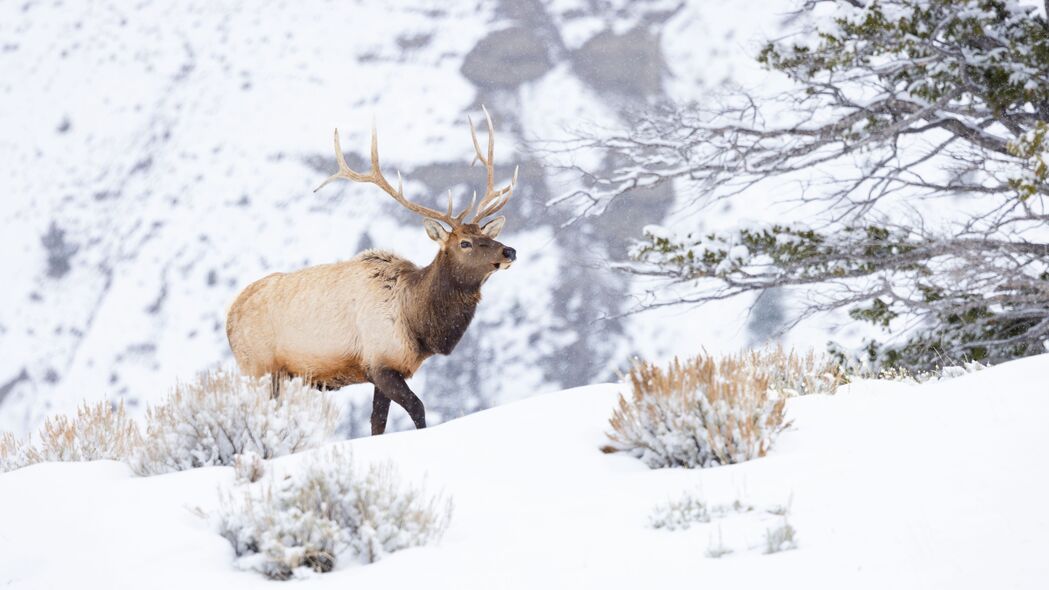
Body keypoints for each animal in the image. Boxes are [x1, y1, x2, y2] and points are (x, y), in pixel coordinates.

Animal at [226, 108, 516, 434]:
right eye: (465, 242)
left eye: (484, 234)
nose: (509, 251)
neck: (416, 323)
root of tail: (229, 316)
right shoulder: (380, 362)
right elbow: (418, 409)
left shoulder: (384, 370)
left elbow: (377, 422)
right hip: (257, 367)